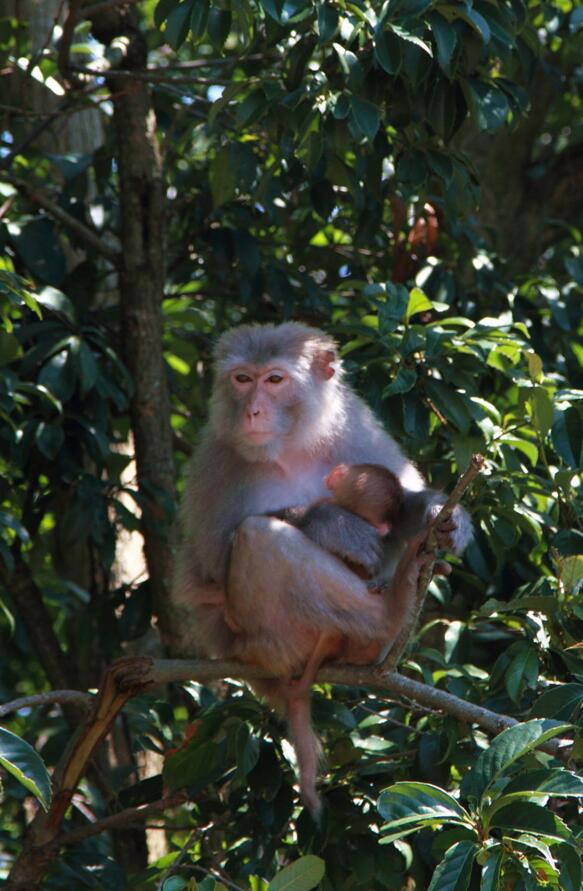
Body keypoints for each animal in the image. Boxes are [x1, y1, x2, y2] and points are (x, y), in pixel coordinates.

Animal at [171, 326, 472, 816]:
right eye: (241, 378)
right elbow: (205, 578)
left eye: (274, 379)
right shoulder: (215, 461)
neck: (289, 448)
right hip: (266, 645)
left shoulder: (355, 427)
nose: (253, 410)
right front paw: (331, 522)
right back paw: (388, 613)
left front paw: (440, 514)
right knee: (258, 538)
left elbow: (398, 504)